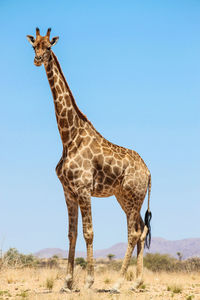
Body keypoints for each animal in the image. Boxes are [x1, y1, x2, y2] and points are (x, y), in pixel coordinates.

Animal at [26, 28, 152, 292]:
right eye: (34, 46)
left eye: (48, 47)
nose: (37, 59)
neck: (68, 137)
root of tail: (149, 172)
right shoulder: (68, 191)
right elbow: (71, 233)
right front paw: (67, 282)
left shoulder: (84, 189)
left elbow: (89, 232)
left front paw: (89, 281)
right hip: (126, 198)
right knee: (141, 229)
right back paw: (136, 282)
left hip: (133, 197)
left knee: (133, 233)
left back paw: (117, 283)